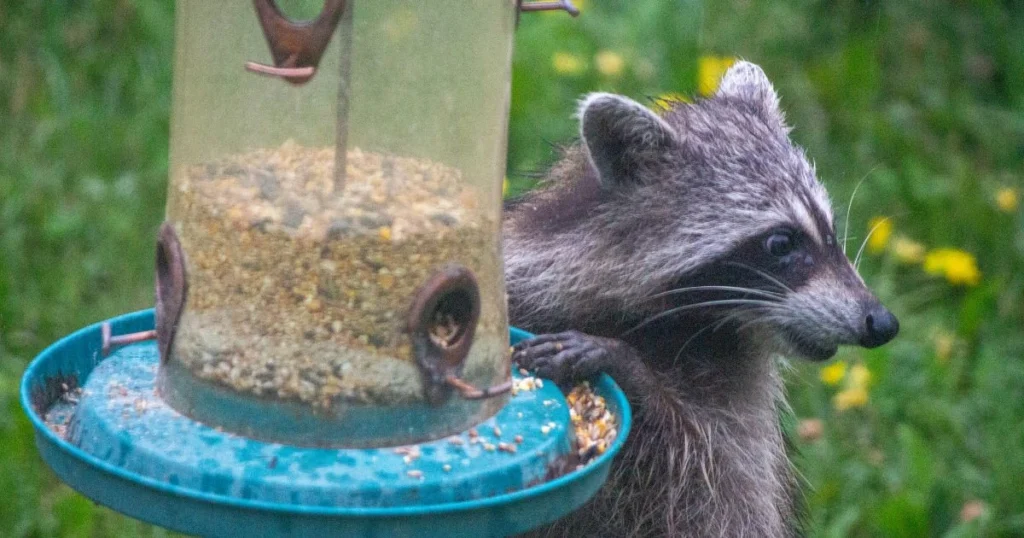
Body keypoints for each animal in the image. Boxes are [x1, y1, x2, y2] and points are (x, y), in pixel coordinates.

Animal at [507, 60, 901, 532]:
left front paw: (627, 369)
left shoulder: (742, 417)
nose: (881, 322)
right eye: (781, 243)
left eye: (830, 231)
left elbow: (717, 495)